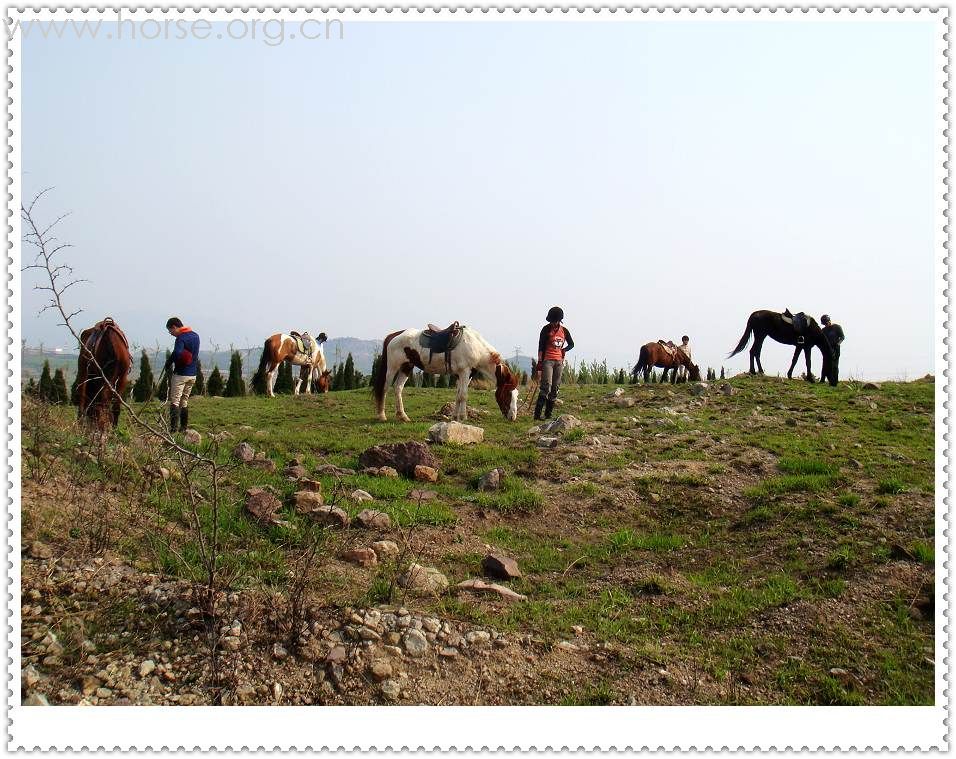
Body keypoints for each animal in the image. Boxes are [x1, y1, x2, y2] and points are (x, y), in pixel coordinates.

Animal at [374, 326, 524, 424]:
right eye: (507, 394)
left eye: (516, 395)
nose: (513, 417)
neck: (476, 347)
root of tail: (394, 335)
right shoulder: (464, 372)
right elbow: (463, 396)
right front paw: (463, 417)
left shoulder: (465, 375)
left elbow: (458, 396)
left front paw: (454, 417)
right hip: (392, 368)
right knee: (385, 389)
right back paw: (382, 416)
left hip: (406, 367)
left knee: (398, 388)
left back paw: (403, 416)